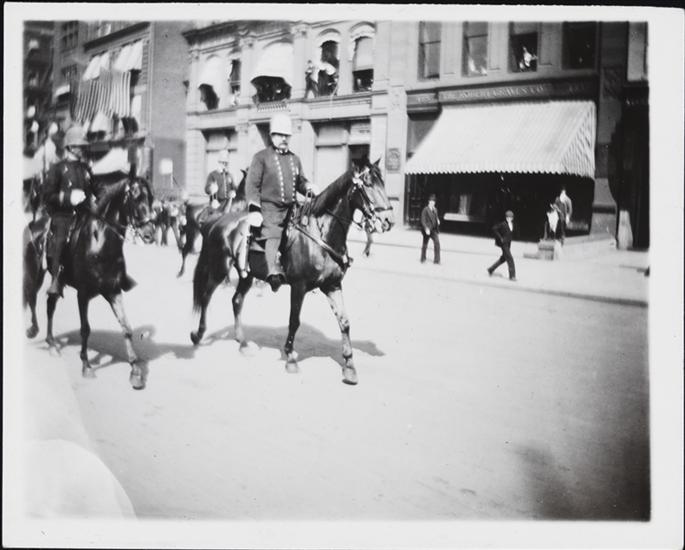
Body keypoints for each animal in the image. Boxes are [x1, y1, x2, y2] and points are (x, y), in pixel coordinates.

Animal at [23, 174, 155, 389]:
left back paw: (52, 344)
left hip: (57, 281)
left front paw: (135, 371)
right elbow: (85, 329)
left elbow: (126, 328)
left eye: (151, 198)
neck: (100, 241)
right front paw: (86, 365)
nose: (150, 234)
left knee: (50, 304)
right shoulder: (83, 293)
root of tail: (35, 224)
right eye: (135, 197)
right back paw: (33, 330)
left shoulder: (113, 291)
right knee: (32, 297)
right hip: (35, 272)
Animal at [190, 158, 394, 385]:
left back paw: (242, 343)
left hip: (247, 275)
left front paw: (349, 367)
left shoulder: (332, 285)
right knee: (206, 296)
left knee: (236, 300)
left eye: (382, 182)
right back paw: (198, 335)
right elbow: (294, 321)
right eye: (367, 184)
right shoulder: (298, 286)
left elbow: (345, 322)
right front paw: (290, 358)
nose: (389, 220)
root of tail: (218, 221)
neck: (321, 233)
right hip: (219, 268)